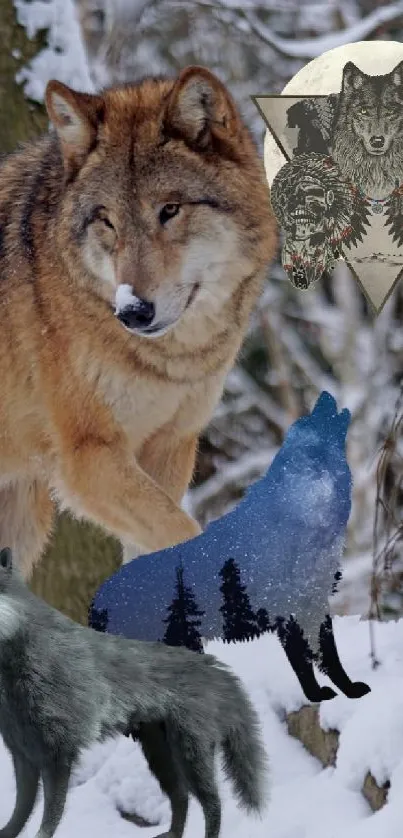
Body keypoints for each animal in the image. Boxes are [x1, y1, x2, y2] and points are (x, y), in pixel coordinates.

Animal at [0, 65, 278, 576]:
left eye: (169, 210)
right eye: (106, 220)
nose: (132, 311)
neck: (172, 361)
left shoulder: (171, 447)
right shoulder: (89, 458)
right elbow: (184, 535)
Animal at [0, 548, 268, 836]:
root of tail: (217, 669)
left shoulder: (58, 752)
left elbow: (48, 818)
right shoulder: (22, 752)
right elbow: (19, 813)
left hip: (190, 754)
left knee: (212, 804)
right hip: (160, 753)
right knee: (181, 796)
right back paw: (173, 834)